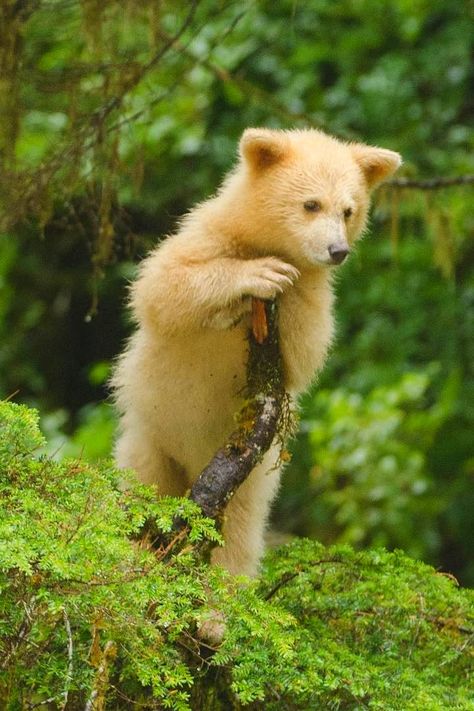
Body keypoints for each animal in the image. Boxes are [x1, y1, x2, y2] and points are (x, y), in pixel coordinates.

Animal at [113, 128, 402, 580]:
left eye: (349, 210)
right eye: (311, 204)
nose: (337, 250)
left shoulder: (314, 294)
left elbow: (304, 355)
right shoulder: (200, 238)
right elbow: (162, 287)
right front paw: (255, 279)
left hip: (252, 478)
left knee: (239, 534)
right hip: (150, 439)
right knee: (146, 491)